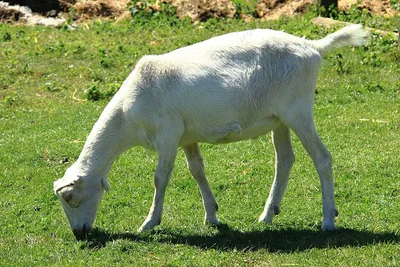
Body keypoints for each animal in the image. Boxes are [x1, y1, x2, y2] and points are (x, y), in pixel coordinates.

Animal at [54, 24, 368, 238]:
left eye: (69, 198)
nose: (80, 233)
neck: (129, 114)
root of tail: (313, 47)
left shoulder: (167, 135)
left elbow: (160, 178)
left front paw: (149, 223)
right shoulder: (186, 137)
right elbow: (197, 170)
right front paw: (212, 216)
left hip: (298, 111)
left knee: (322, 158)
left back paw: (328, 219)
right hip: (279, 119)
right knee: (285, 160)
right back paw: (268, 214)